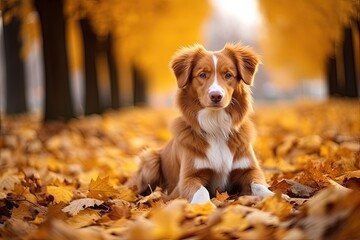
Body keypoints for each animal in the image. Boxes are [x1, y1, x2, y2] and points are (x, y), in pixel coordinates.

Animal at [126, 43, 276, 204]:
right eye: (202, 75)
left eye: (228, 75)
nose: (216, 96)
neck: (216, 126)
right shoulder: (188, 178)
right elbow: (201, 190)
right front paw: (202, 206)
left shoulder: (249, 170)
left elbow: (259, 185)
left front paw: (276, 197)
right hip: (150, 159)